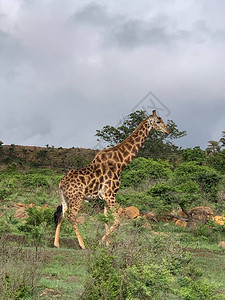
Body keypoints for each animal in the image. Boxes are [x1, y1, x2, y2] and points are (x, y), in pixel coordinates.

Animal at [54, 109, 169, 248]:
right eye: (158, 121)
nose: (167, 131)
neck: (120, 164)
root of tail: (61, 183)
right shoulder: (110, 195)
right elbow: (117, 221)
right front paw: (101, 242)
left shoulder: (104, 197)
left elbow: (106, 219)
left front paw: (107, 244)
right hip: (77, 198)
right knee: (71, 217)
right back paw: (82, 245)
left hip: (64, 198)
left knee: (61, 214)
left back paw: (56, 243)